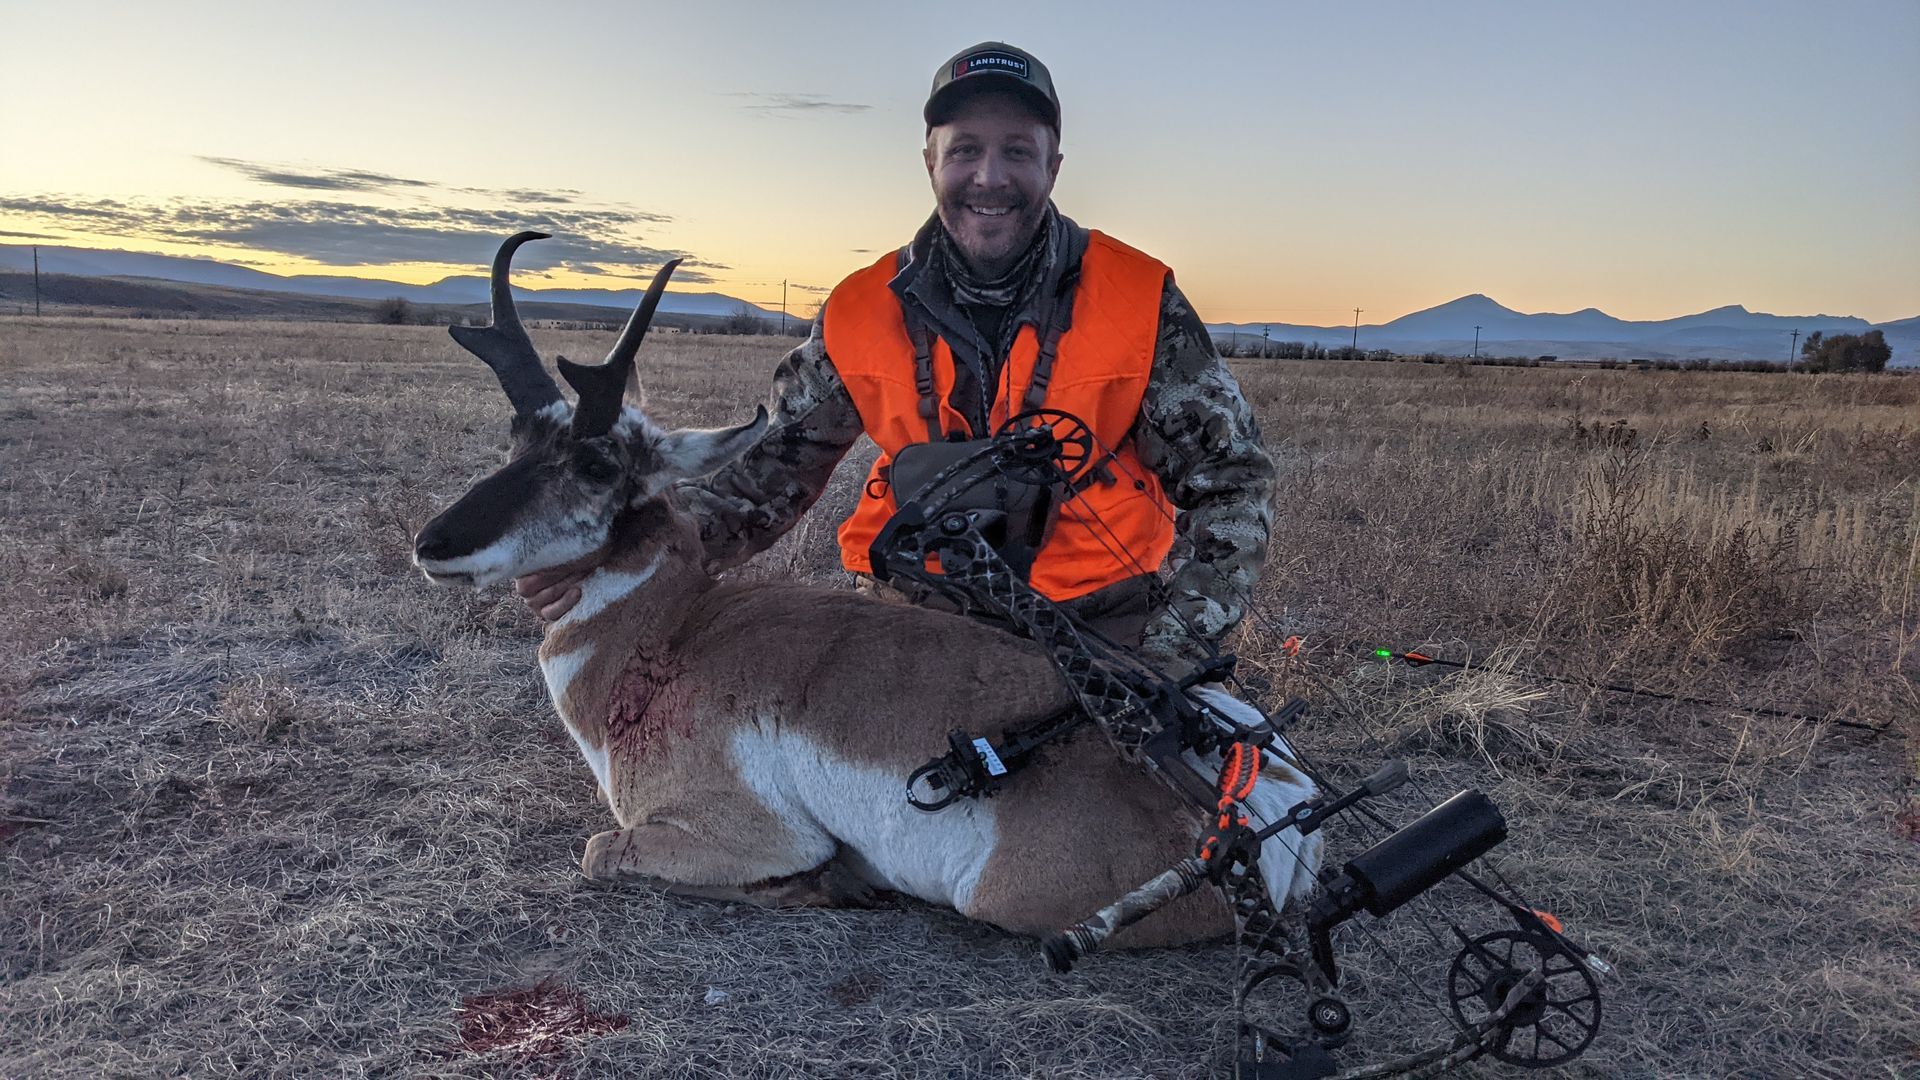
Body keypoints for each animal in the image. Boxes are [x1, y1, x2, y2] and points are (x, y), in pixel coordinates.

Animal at [412, 232, 1321, 945]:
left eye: (598, 465)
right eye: (518, 439)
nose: (432, 542)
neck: (667, 636)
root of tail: (1260, 786)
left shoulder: (737, 832)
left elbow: (602, 851)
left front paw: (829, 883)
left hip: (1007, 895)